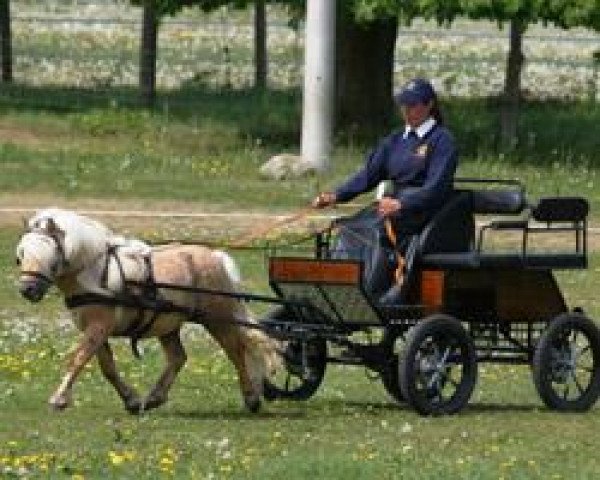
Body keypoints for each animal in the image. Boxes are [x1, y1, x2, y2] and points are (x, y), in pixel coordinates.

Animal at [16, 208, 278, 414]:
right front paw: (131, 400)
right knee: (178, 357)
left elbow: (78, 359)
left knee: (236, 352)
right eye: (20, 255)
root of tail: (215, 256)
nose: (27, 290)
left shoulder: (99, 326)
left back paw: (251, 398)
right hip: (168, 323)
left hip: (217, 319)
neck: (95, 273)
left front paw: (58, 399)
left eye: (51, 256)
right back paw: (154, 398)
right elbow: (107, 368)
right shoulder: (95, 330)